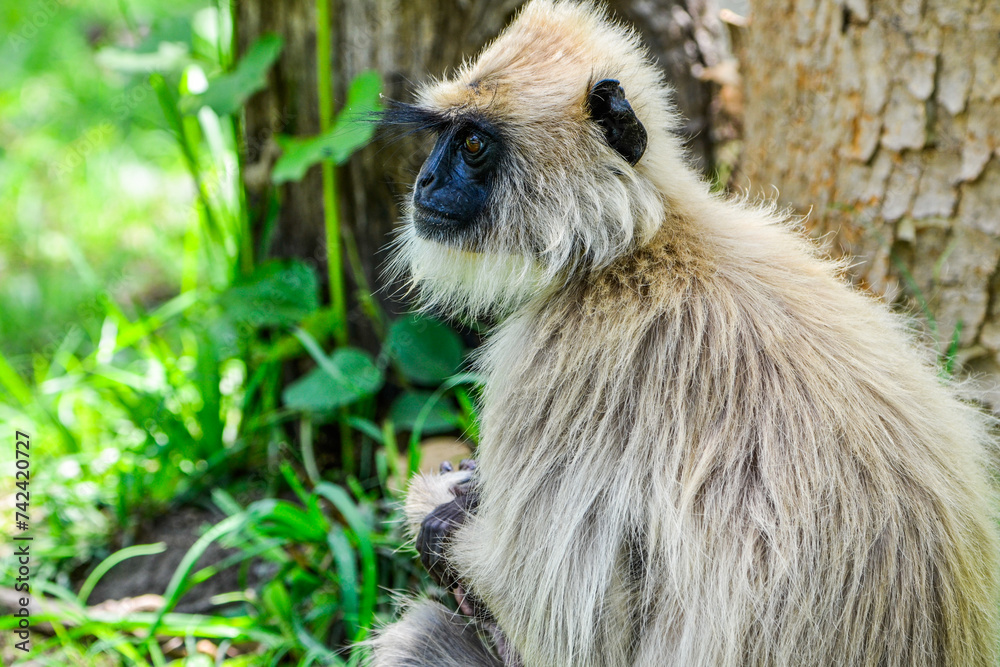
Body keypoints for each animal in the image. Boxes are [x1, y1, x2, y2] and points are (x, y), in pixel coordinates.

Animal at [366, 1, 1000, 665]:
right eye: (444, 137)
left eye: (470, 143)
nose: (425, 184)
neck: (639, 246)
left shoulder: (558, 358)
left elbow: (562, 627)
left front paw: (443, 511)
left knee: (421, 634)